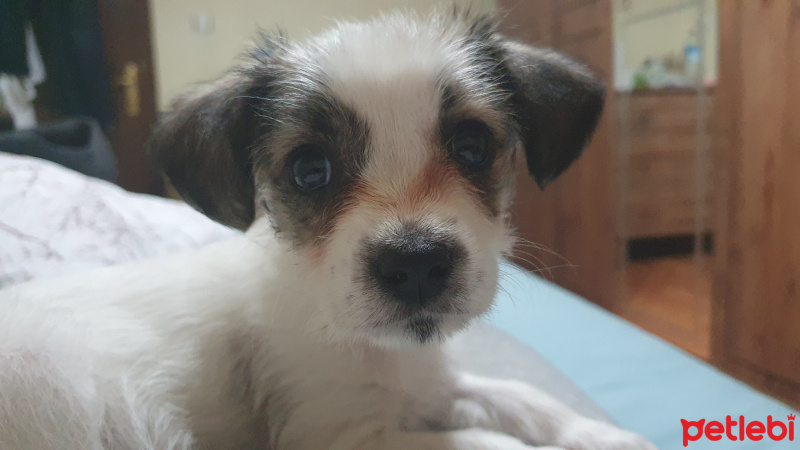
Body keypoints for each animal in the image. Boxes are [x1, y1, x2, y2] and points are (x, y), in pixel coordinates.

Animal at [0, 10, 656, 450]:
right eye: (309, 169)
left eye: (472, 147)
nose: (416, 263)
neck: (373, 350)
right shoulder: (334, 432)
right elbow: (489, 444)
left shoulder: (427, 389)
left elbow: (520, 396)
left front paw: (600, 435)